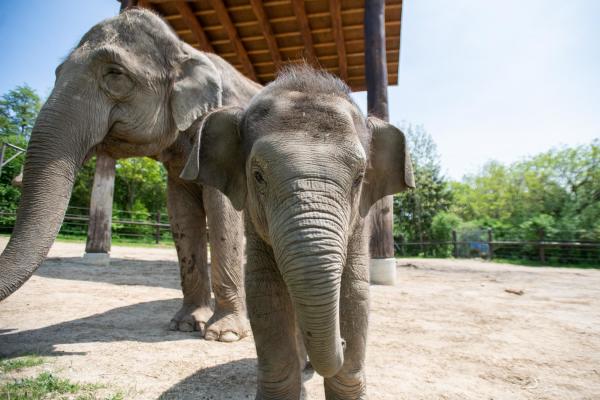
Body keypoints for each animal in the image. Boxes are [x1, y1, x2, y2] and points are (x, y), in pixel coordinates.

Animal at [0, 8, 260, 340]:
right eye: (57, 73)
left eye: (115, 74)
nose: (14, 177)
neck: (185, 49)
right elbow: (182, 213)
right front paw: (184, 324)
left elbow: (222, 212)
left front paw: (223, 335)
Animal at [180, 67, 414, 398]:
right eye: (258, 176)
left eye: (360, 178)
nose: (341, 341)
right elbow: (264, 292)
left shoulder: (359, 223)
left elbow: (355, 293)